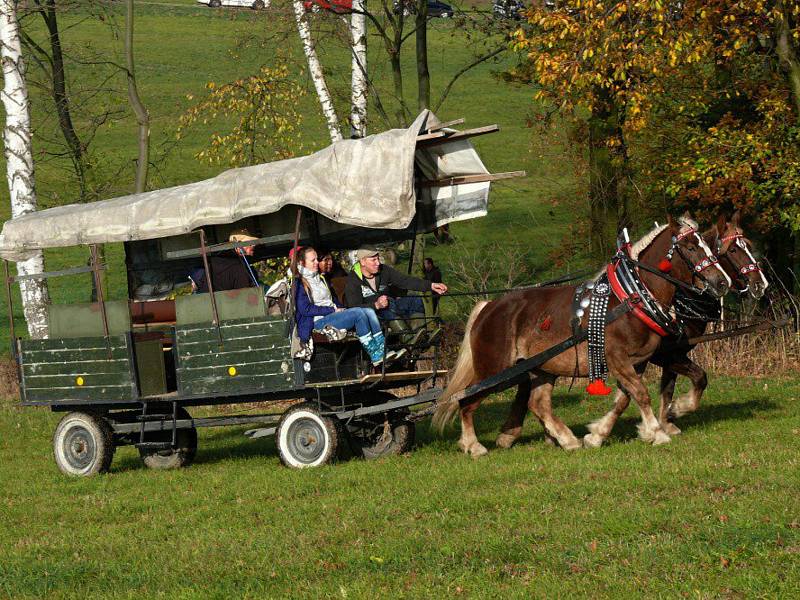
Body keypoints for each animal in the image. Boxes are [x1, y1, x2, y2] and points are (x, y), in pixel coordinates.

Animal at [434, 216, 736, 454]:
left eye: (707, 245)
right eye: (690, 247)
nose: (722, 282)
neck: (631, 297)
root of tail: (489, 307)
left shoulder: (637, 361)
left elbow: (626, 398)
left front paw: (597, 435)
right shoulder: (617, 357)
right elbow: (641, 394)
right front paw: (657, 431)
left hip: (542, 368)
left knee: (538, 403)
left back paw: (568, 440)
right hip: (494, 370)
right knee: (466, 400)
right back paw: (473, 445)